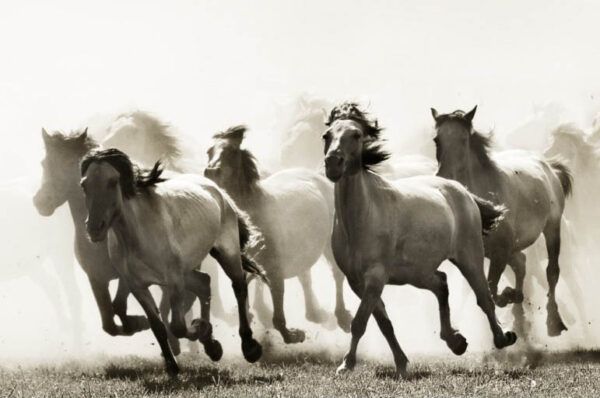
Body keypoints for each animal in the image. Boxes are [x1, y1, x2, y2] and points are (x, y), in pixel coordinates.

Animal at [79, 148, 264, 374]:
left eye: (113, 181)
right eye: (84, 184)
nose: (94, 228)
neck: (136, 235)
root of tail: (218, 191)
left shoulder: (174, 280)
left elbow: (177, 326)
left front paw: (199, 327)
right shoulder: (137, 286)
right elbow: (158, 326)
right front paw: (172, 365)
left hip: (226, 252)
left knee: (238, 286)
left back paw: (249, 347)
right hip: (187, 271)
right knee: (204, 283)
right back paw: (212, 347)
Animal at [204, 126, 354, 344]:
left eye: (231, 152)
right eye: (209, 152)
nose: (210, 172)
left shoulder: (275, 269)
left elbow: (277, 310)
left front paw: (291, 335)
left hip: (328, 244)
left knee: (336, 275)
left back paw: (341, 317)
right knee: (305, 276)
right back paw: (314, 313)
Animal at [324, 101, 516, 378]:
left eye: (357, 135)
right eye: (326, 136)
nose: (333, 163)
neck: (362, 218)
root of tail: (462, 190)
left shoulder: (375, 277)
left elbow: (360, 322)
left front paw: (345, 364)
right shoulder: (357, 282)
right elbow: (384, 324)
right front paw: (401, 364)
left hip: (469, 258)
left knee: (484, 298)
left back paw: (502, 338)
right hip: (417, 273)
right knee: (442, 283)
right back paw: (455, 341)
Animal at [432, 105, 572, 336]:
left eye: (464, 139)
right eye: (437, 139)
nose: (445, 177)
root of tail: (549, 166)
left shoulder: (501, 251)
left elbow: (492, 289)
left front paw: (509, 296)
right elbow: (490, 289)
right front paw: (512, 297)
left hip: (552, 227)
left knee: (551, 271)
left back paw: (554, 322)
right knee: (521, 264)